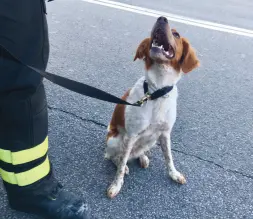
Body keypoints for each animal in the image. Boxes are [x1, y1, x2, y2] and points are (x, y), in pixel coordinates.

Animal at [105, 16, 200, 198]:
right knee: (115, 157)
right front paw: (116, 185)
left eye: (176, 34)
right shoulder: (131, 135)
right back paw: (123, 164)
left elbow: (169, 157)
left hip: (151, 140)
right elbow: (120, 166)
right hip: (115, 140)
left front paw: (174, 174)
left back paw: (142, 157)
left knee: (136, 153)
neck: (157, 92)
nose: (161, 19)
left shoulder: (165, 133)